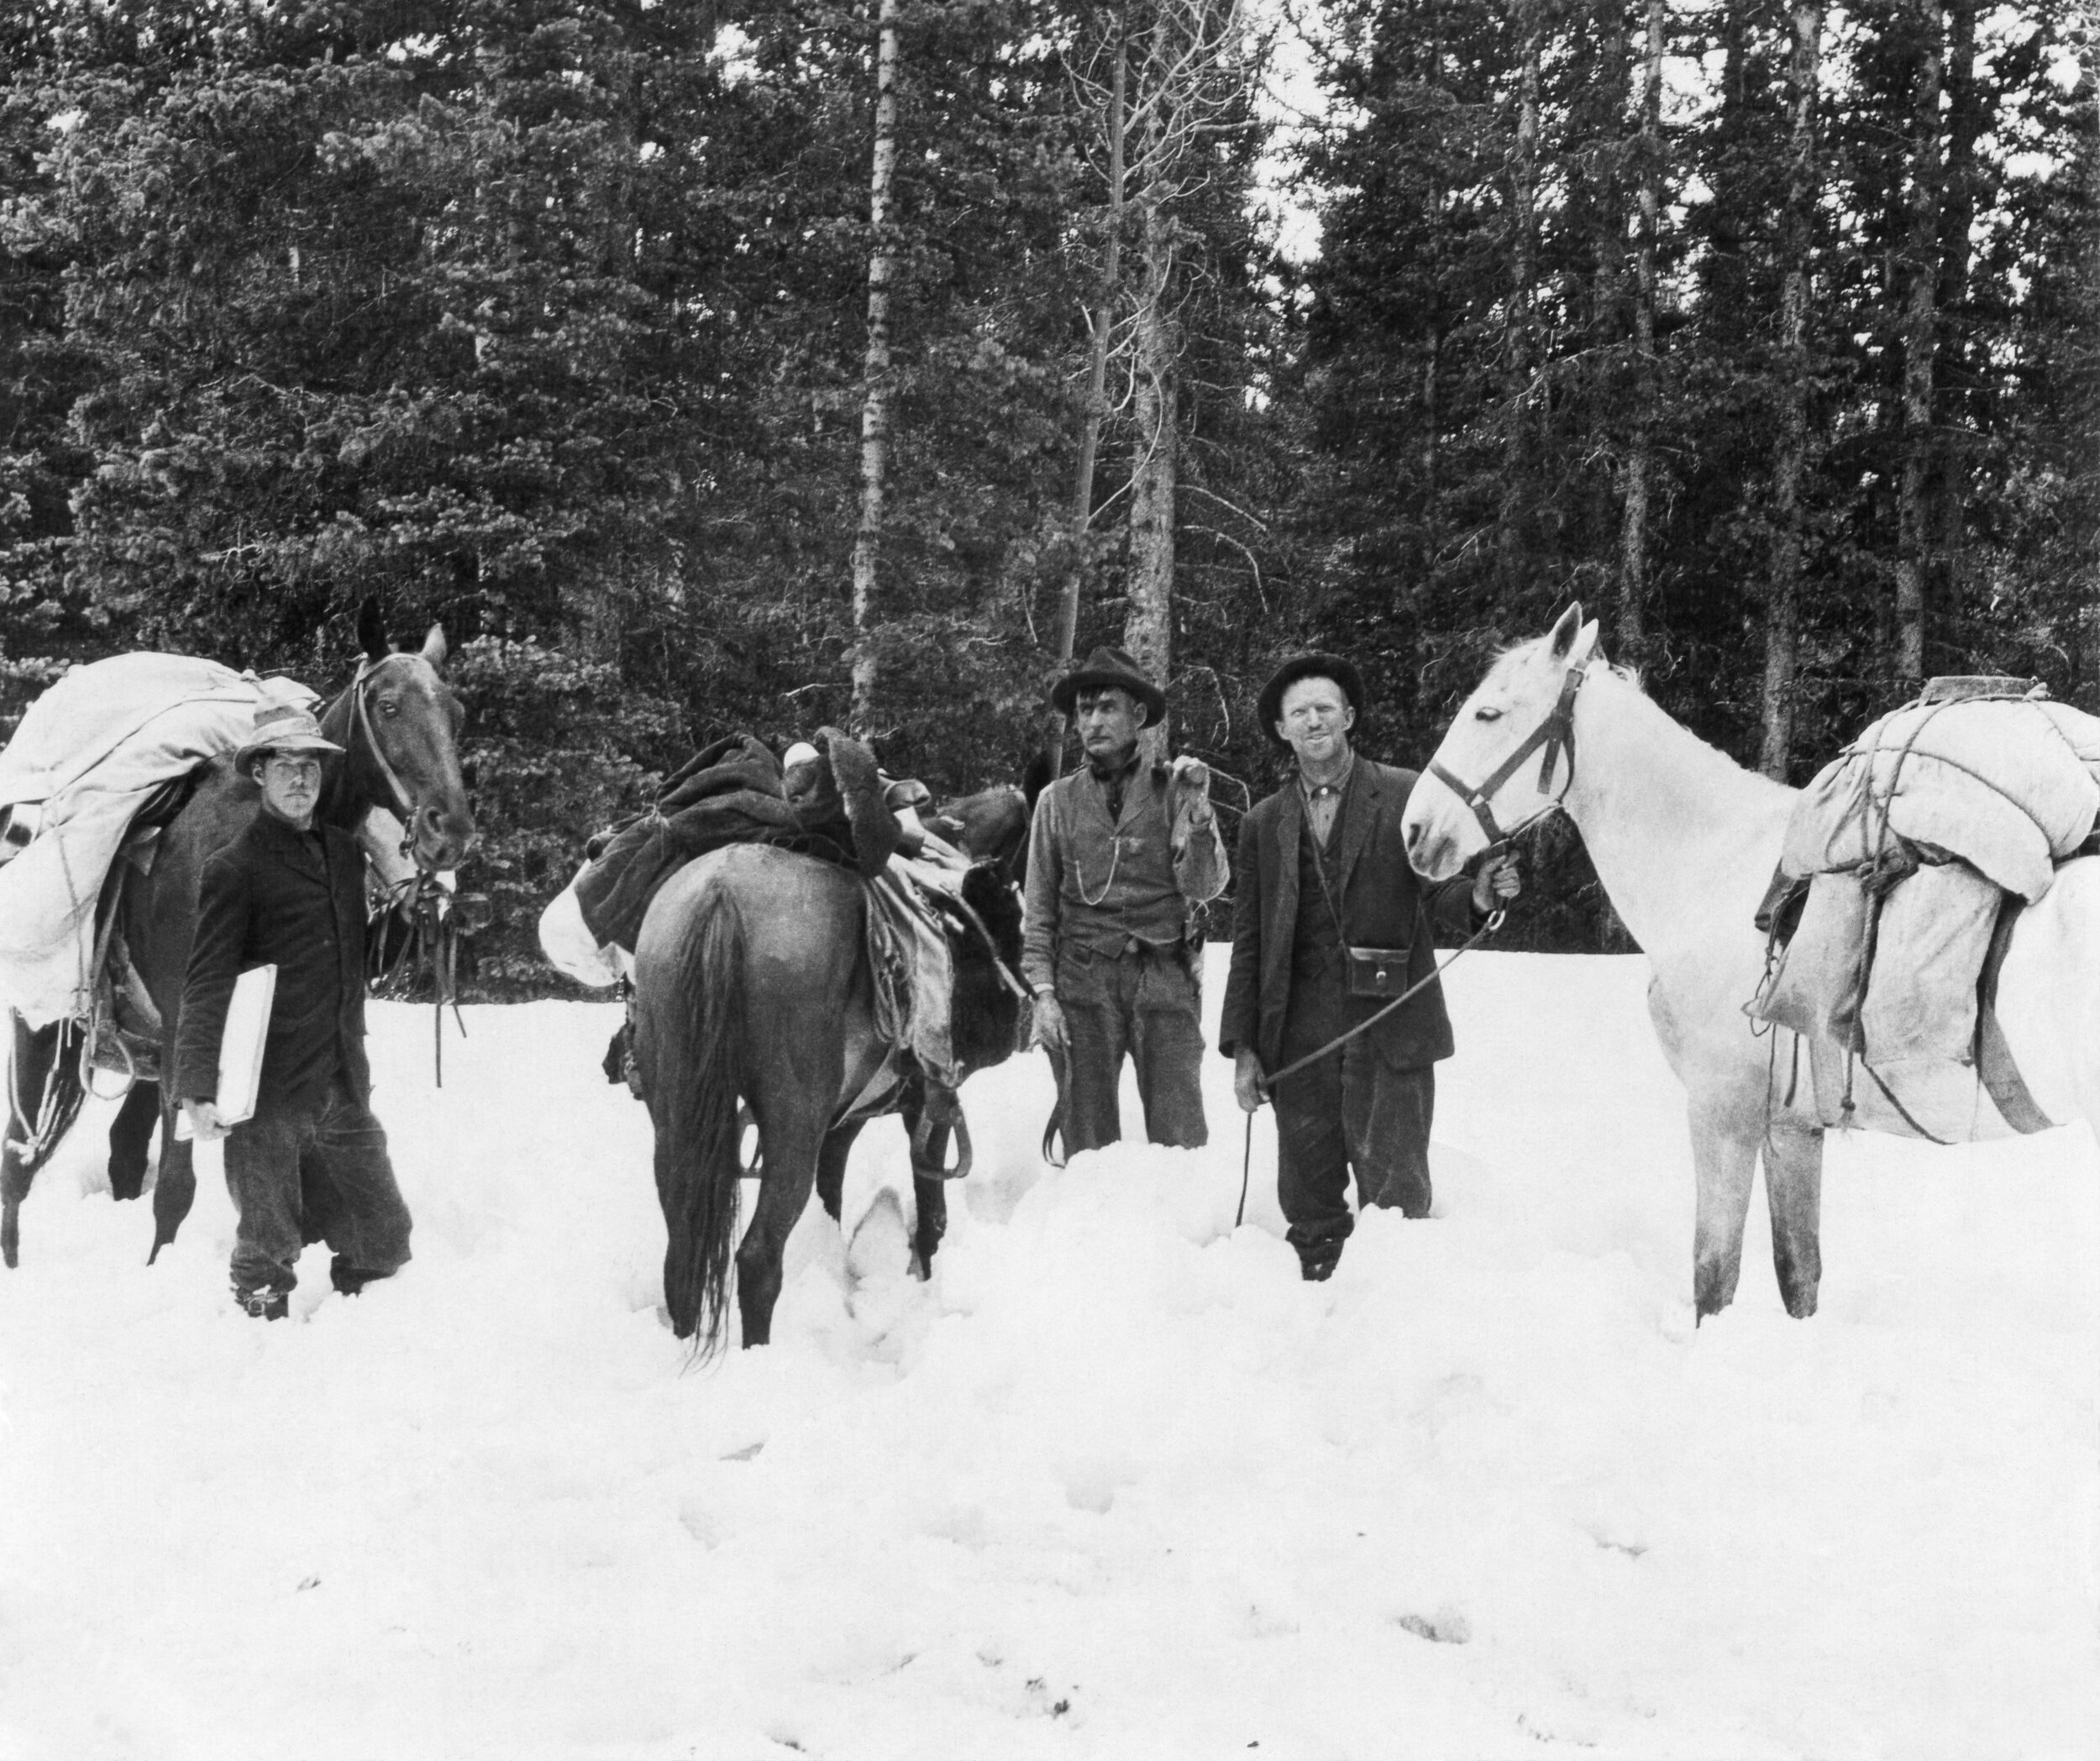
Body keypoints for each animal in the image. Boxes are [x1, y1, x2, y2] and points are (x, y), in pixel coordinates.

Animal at [0, 604, 476, 1267]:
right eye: (388, 706)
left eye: (456, 712)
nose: (450, 830)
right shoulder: (190, 1024)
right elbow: (177, 1188)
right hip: (45, 1029)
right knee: (17, 1162)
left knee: (120, 1149)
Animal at [630, 839, 1025, 1351]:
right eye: (1011, 916)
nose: (1021, 1015)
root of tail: (720, 893)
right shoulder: (924, 1108)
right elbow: (931, 1214)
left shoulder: (841, 1124)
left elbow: (831, 1199)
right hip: (793, 1123)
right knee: (758, 1255)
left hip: (676, 1119)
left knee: (682, 1248)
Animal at [1394, 604, 2100, 1326]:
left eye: (1488, 713)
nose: (1414, 831)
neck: (1716, 871)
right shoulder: (1789, 1126)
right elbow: (1799, 1273)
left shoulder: (1721, 1110)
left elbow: (1715, 1274)